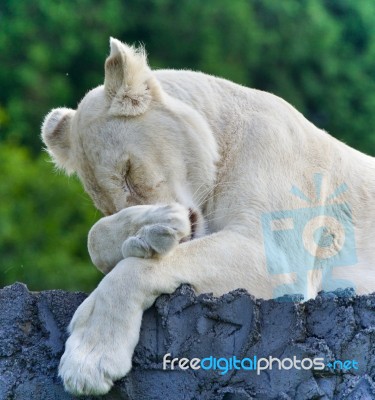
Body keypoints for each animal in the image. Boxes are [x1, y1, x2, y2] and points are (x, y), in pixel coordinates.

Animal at [40, 39, 375, 396]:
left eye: (128, 172)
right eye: (104, 203)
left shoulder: (277, 254)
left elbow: (134, 270)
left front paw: (88, 361)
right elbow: (95, 237)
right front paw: (148, 231)